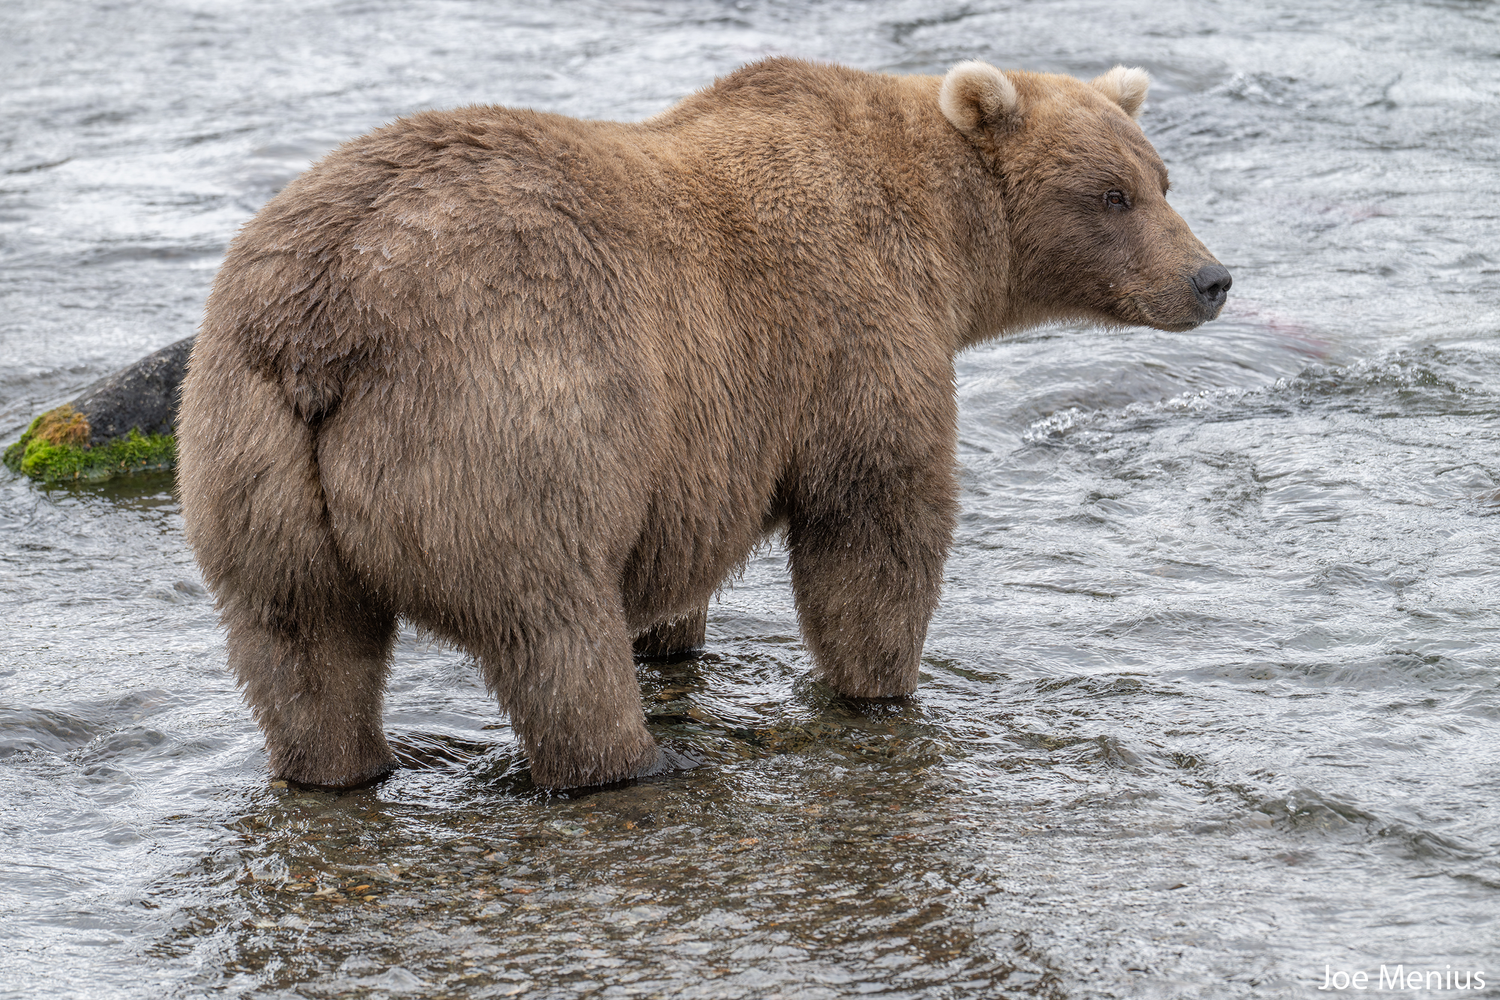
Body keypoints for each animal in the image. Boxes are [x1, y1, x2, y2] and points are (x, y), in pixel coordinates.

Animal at [177, 58, 1230, 790]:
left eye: (1162, 177)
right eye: (1110, 194)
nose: (1210, 278)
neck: (943, 241)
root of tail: (328, 323)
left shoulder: (696, 444)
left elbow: (675, 572)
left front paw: (678, 640)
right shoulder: (849, 334)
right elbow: (875, 528)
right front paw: (882, 686)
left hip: (250, 454)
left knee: (300, 643)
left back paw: (338, 770)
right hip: (508, 417)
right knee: (552, 624)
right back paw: (634, 763)